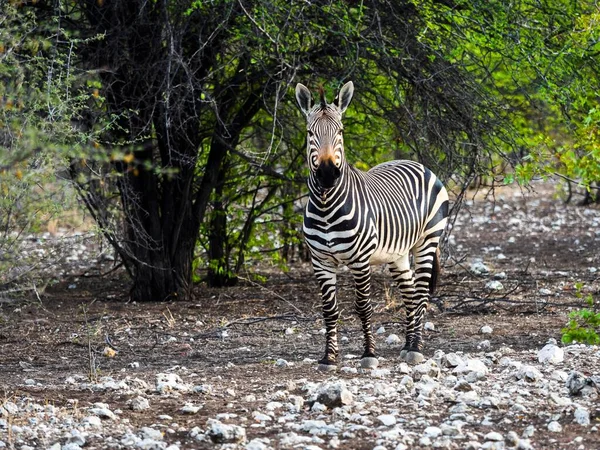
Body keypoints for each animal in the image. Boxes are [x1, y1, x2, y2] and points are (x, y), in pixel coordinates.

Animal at [292, 81, 448, 370]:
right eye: (309, 133)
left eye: (340, 131)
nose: (328, 174)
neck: (326, 206)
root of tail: (415, 162)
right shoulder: (320, 261)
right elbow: (329, 310)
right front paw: (329, 357)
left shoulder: (359, 260)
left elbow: (363, 307)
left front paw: (369, 354)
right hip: (398, 253)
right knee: (410, 295)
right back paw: (407, 345)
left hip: (427, 241)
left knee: (421, 294)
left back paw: (416, 348)